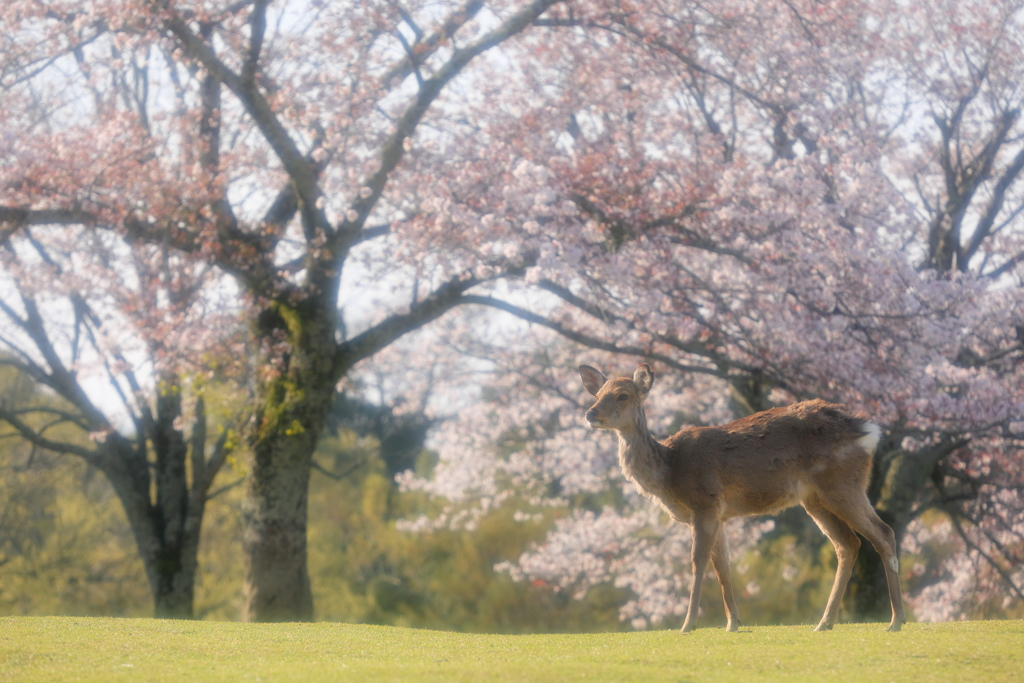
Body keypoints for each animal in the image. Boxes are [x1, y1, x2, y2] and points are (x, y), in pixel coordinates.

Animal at [581, 366, 909, 634]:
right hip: (815, 498)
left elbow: (698, 561)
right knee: (847, 544)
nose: (590, 414)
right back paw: (825, 622)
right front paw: (733, 623)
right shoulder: (719, 514)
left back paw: (896, 620)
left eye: (622, 395)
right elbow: (723, 565)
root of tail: (869, 431)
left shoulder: (705, 503)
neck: (669, 471)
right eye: (597, 394)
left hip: (842, 483)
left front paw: (688, 624)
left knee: (883, 533)